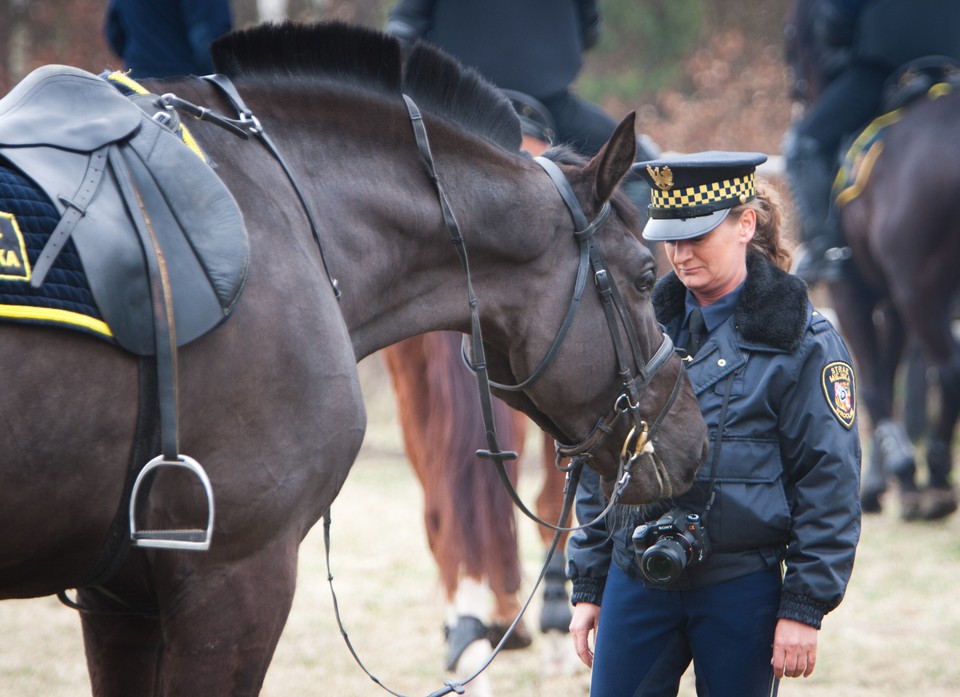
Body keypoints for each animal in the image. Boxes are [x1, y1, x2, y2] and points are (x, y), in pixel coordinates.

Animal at [788, 0, 960, 520]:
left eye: (791, 40)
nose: (796, 92)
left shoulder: (853, 291)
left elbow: (871, 381)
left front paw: (898, 475)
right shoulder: (887, 294)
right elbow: (884, 368)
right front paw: (886, 480)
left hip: (920, 289)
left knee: (948, 367)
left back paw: (937, 474)